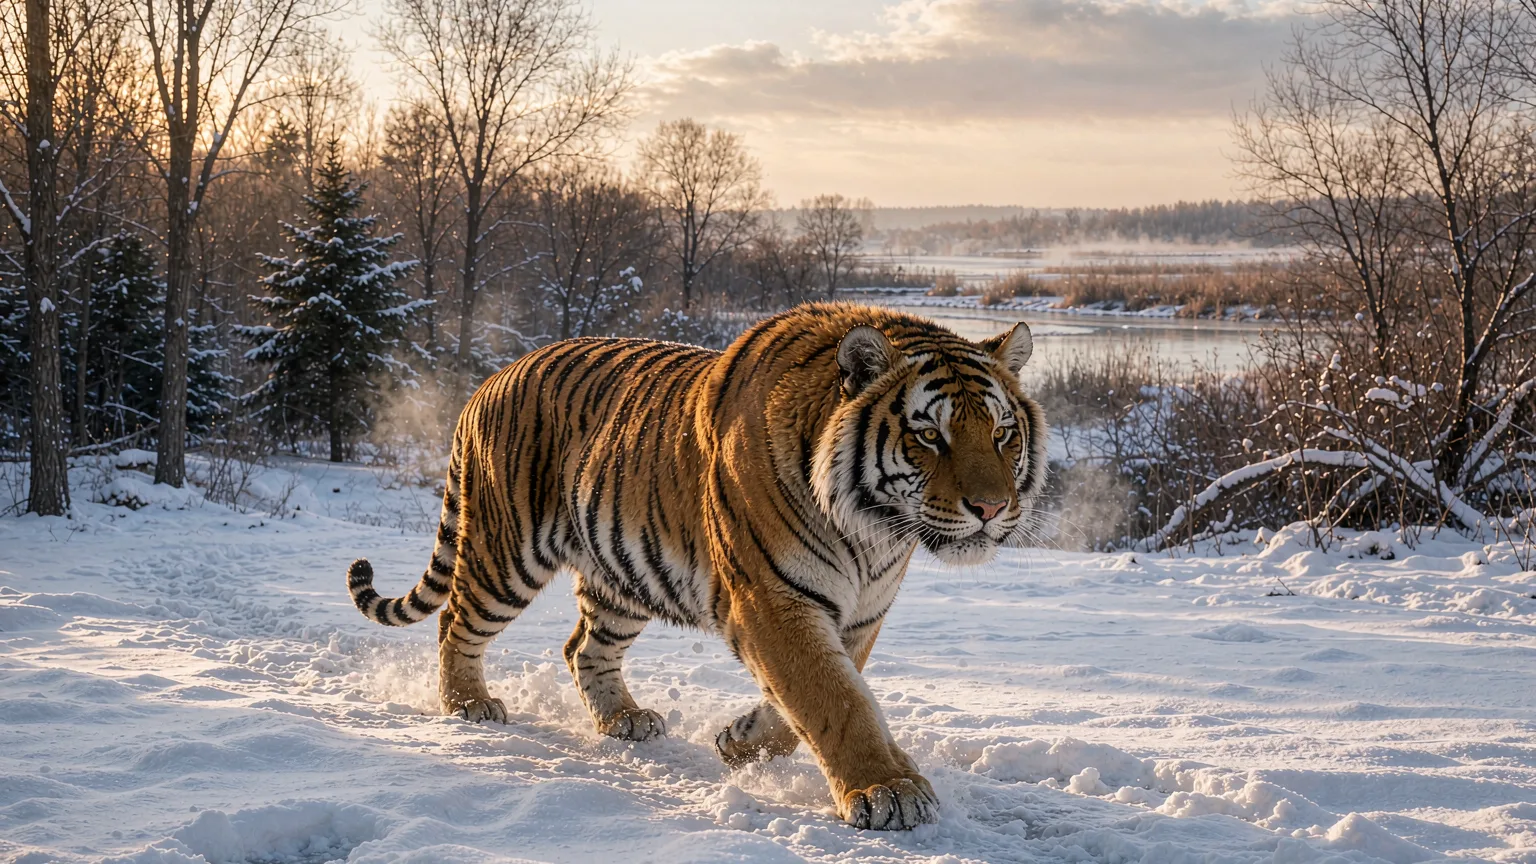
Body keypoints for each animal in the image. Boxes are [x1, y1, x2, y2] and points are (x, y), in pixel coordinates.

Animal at [346, 302, 1046, 830]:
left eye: (1003, 433)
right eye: (930, 435)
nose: (991, 508)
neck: (874, 532)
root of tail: (490, 379)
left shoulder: (859, 613)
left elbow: (809, 702)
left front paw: (741, 741)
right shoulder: (772, 599)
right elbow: (835, 698)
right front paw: (887, 791)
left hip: (620, 577)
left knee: (583, 648)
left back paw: (624, 720)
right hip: (505, 553)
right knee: (456, 623)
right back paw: (468, 705)